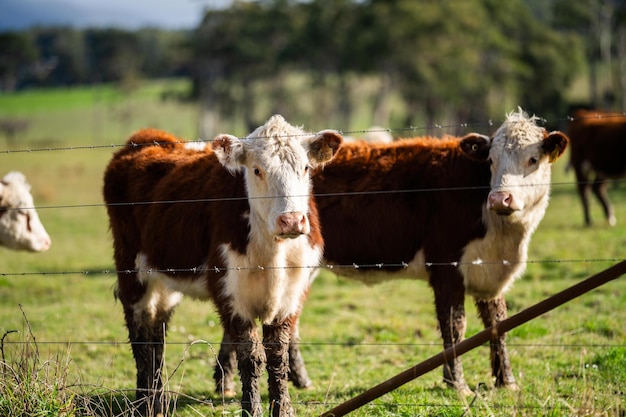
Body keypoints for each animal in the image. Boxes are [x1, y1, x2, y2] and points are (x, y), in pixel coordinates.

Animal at [102, 114, 342, 416]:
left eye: (306, 167)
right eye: (257, 170)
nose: (291, 221)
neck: (272, 253)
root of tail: (145, 137)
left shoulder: (292, 293)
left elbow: (277, 355)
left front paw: (283, 409)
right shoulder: (230, 293)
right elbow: (250, 356)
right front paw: (252, 410)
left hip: (164, 277)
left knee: (157, 329)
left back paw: (158, 401)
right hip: (131, 270)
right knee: (140, 334)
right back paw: (143, 403)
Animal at [216, 107, 572, 394]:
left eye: (533, 160)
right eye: (491, 161)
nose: (501, 198)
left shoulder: (490, 273)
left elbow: (497, 324)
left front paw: (505, 380)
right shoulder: (445, 269)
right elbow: (455, 327)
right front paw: (456, 384)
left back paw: (295, 380)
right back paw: (227, 384)